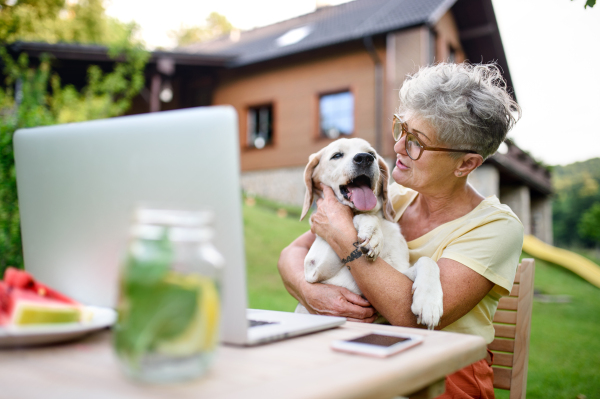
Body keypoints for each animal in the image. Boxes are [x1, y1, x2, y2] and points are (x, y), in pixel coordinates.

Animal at [296, 139, 442, 330]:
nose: (364, 158)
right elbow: (362, 216)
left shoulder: (399, 271)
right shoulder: (313, 267)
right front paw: (373, 235)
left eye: (372, 154)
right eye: (337, 155)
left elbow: (427, 262)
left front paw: (429, 302)